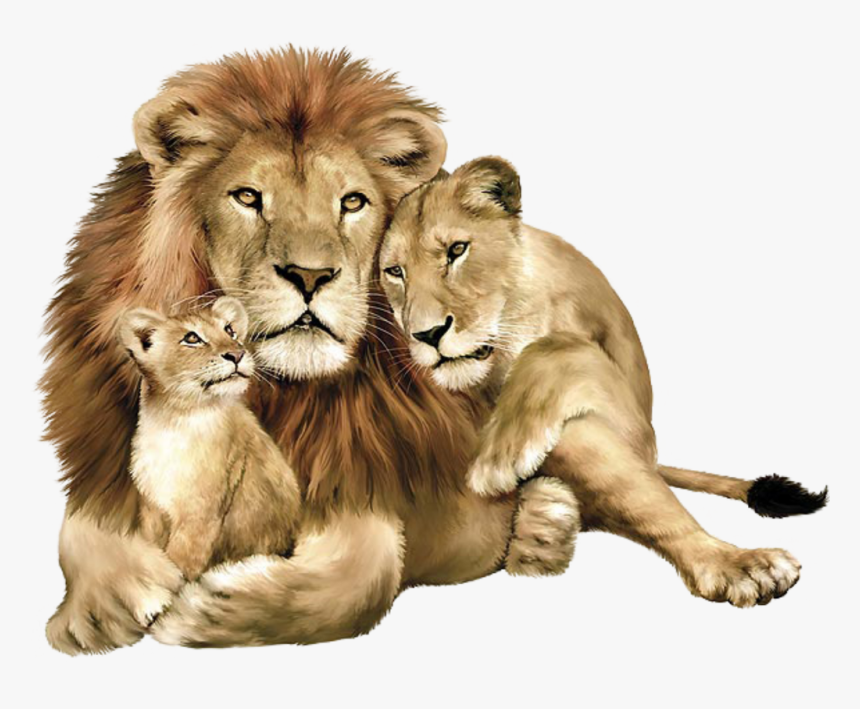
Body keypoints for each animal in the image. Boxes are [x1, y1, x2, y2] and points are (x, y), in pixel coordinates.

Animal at [379, 156, 827, 607]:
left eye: (457, 250)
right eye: (395, 272)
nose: (427, 335)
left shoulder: (630, 415)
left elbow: (556, 346)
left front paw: (499, 459)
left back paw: (741, 565)